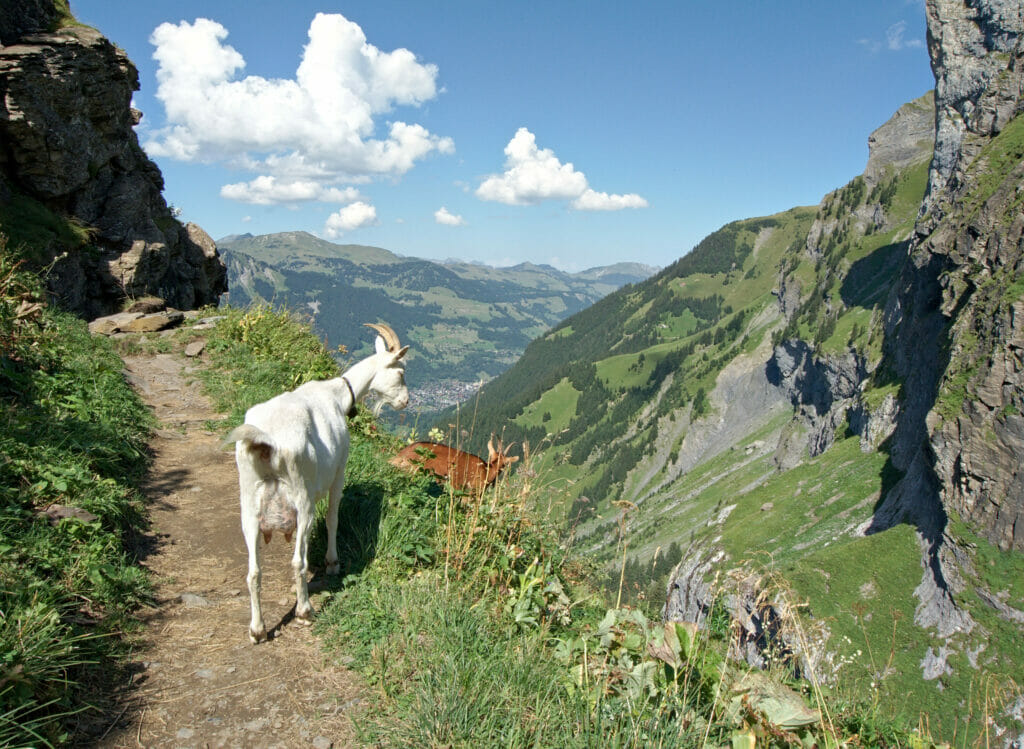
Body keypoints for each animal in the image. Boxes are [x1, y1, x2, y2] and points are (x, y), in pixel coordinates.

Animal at [226, 321, 409, 643]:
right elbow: (333, 518)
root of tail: (266, 442)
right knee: (297, 562)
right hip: (302, 499)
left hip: (249, 503)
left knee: (253, 571)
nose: (405, 401)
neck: (337, 395)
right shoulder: (339, 471)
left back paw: (257, 629)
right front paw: (332, 563)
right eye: (400, 373)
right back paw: (304, 611)